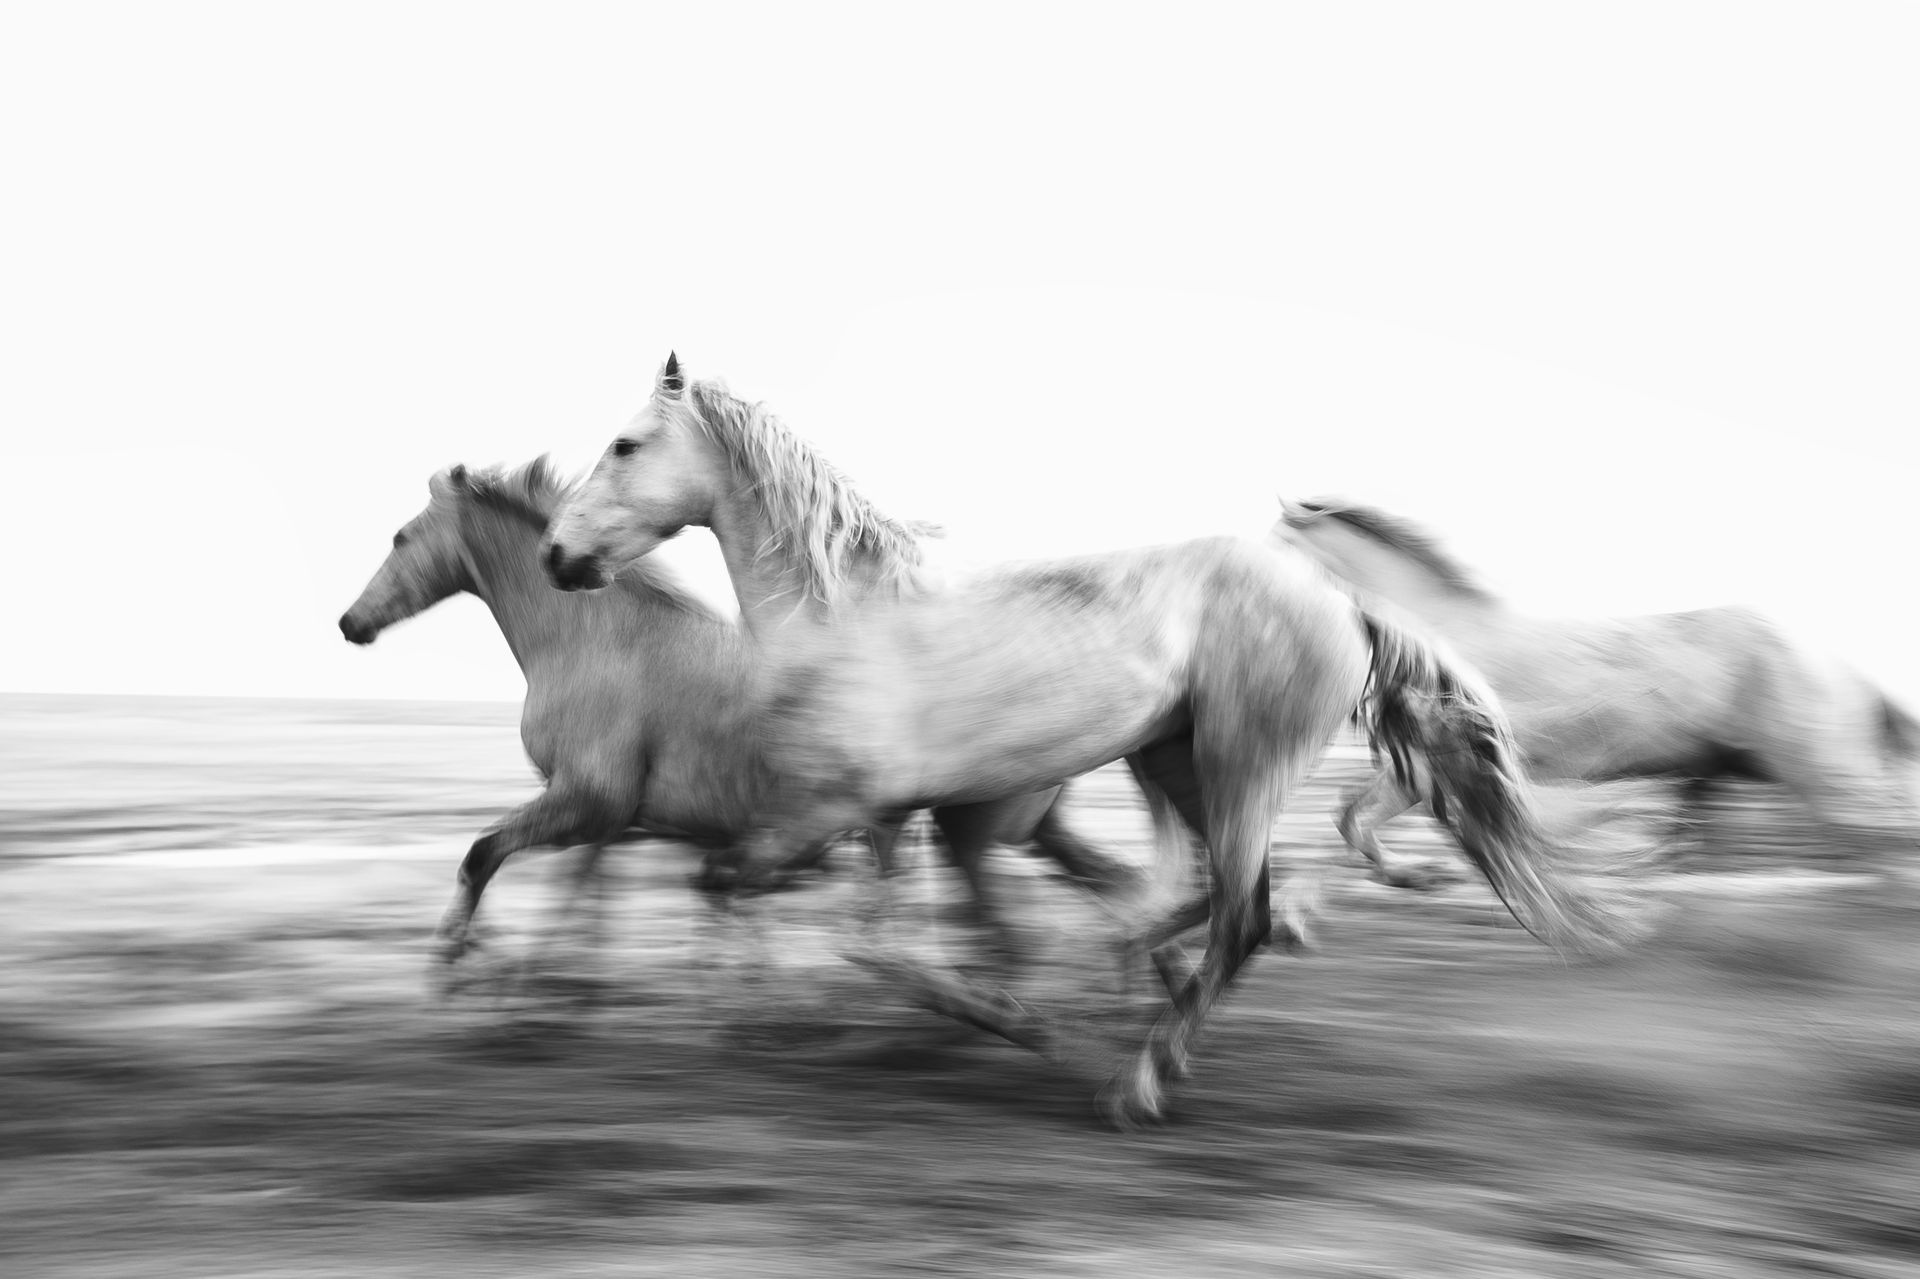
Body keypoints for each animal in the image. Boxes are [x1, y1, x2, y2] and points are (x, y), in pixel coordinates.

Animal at [337, 458, 1137, 979]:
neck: (595, 640)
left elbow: (484, 853)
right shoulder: (609, 818)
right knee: (1101, 891)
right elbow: (586, 904)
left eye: (400, 537)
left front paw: (459, 955)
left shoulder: (590, 800)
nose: (351, 623)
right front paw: (546, 988)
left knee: (1005, 932)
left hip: (966, 833)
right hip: (1009, 829)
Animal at [540, 356, 1646, 1127]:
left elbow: (818, 920)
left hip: (1240, 761)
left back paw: (1139, 1078)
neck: (844, 617)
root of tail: (1340, 599)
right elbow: (852, 926)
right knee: (1213, 896)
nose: (556, 553)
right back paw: (1146, 999)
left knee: (1239, 913)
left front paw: (1038, 1029)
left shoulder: (832, 812)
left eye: (626, 444)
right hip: (1172, 759)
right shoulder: (896, 820)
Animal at [1270, 496, 1920, 885]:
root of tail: (1842, 665)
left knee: (1882, 836)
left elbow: (1360, 820)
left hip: (1820, 768)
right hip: (1728, 772)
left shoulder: (1438, 771)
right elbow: (1349, 819)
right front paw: (1411, 880)